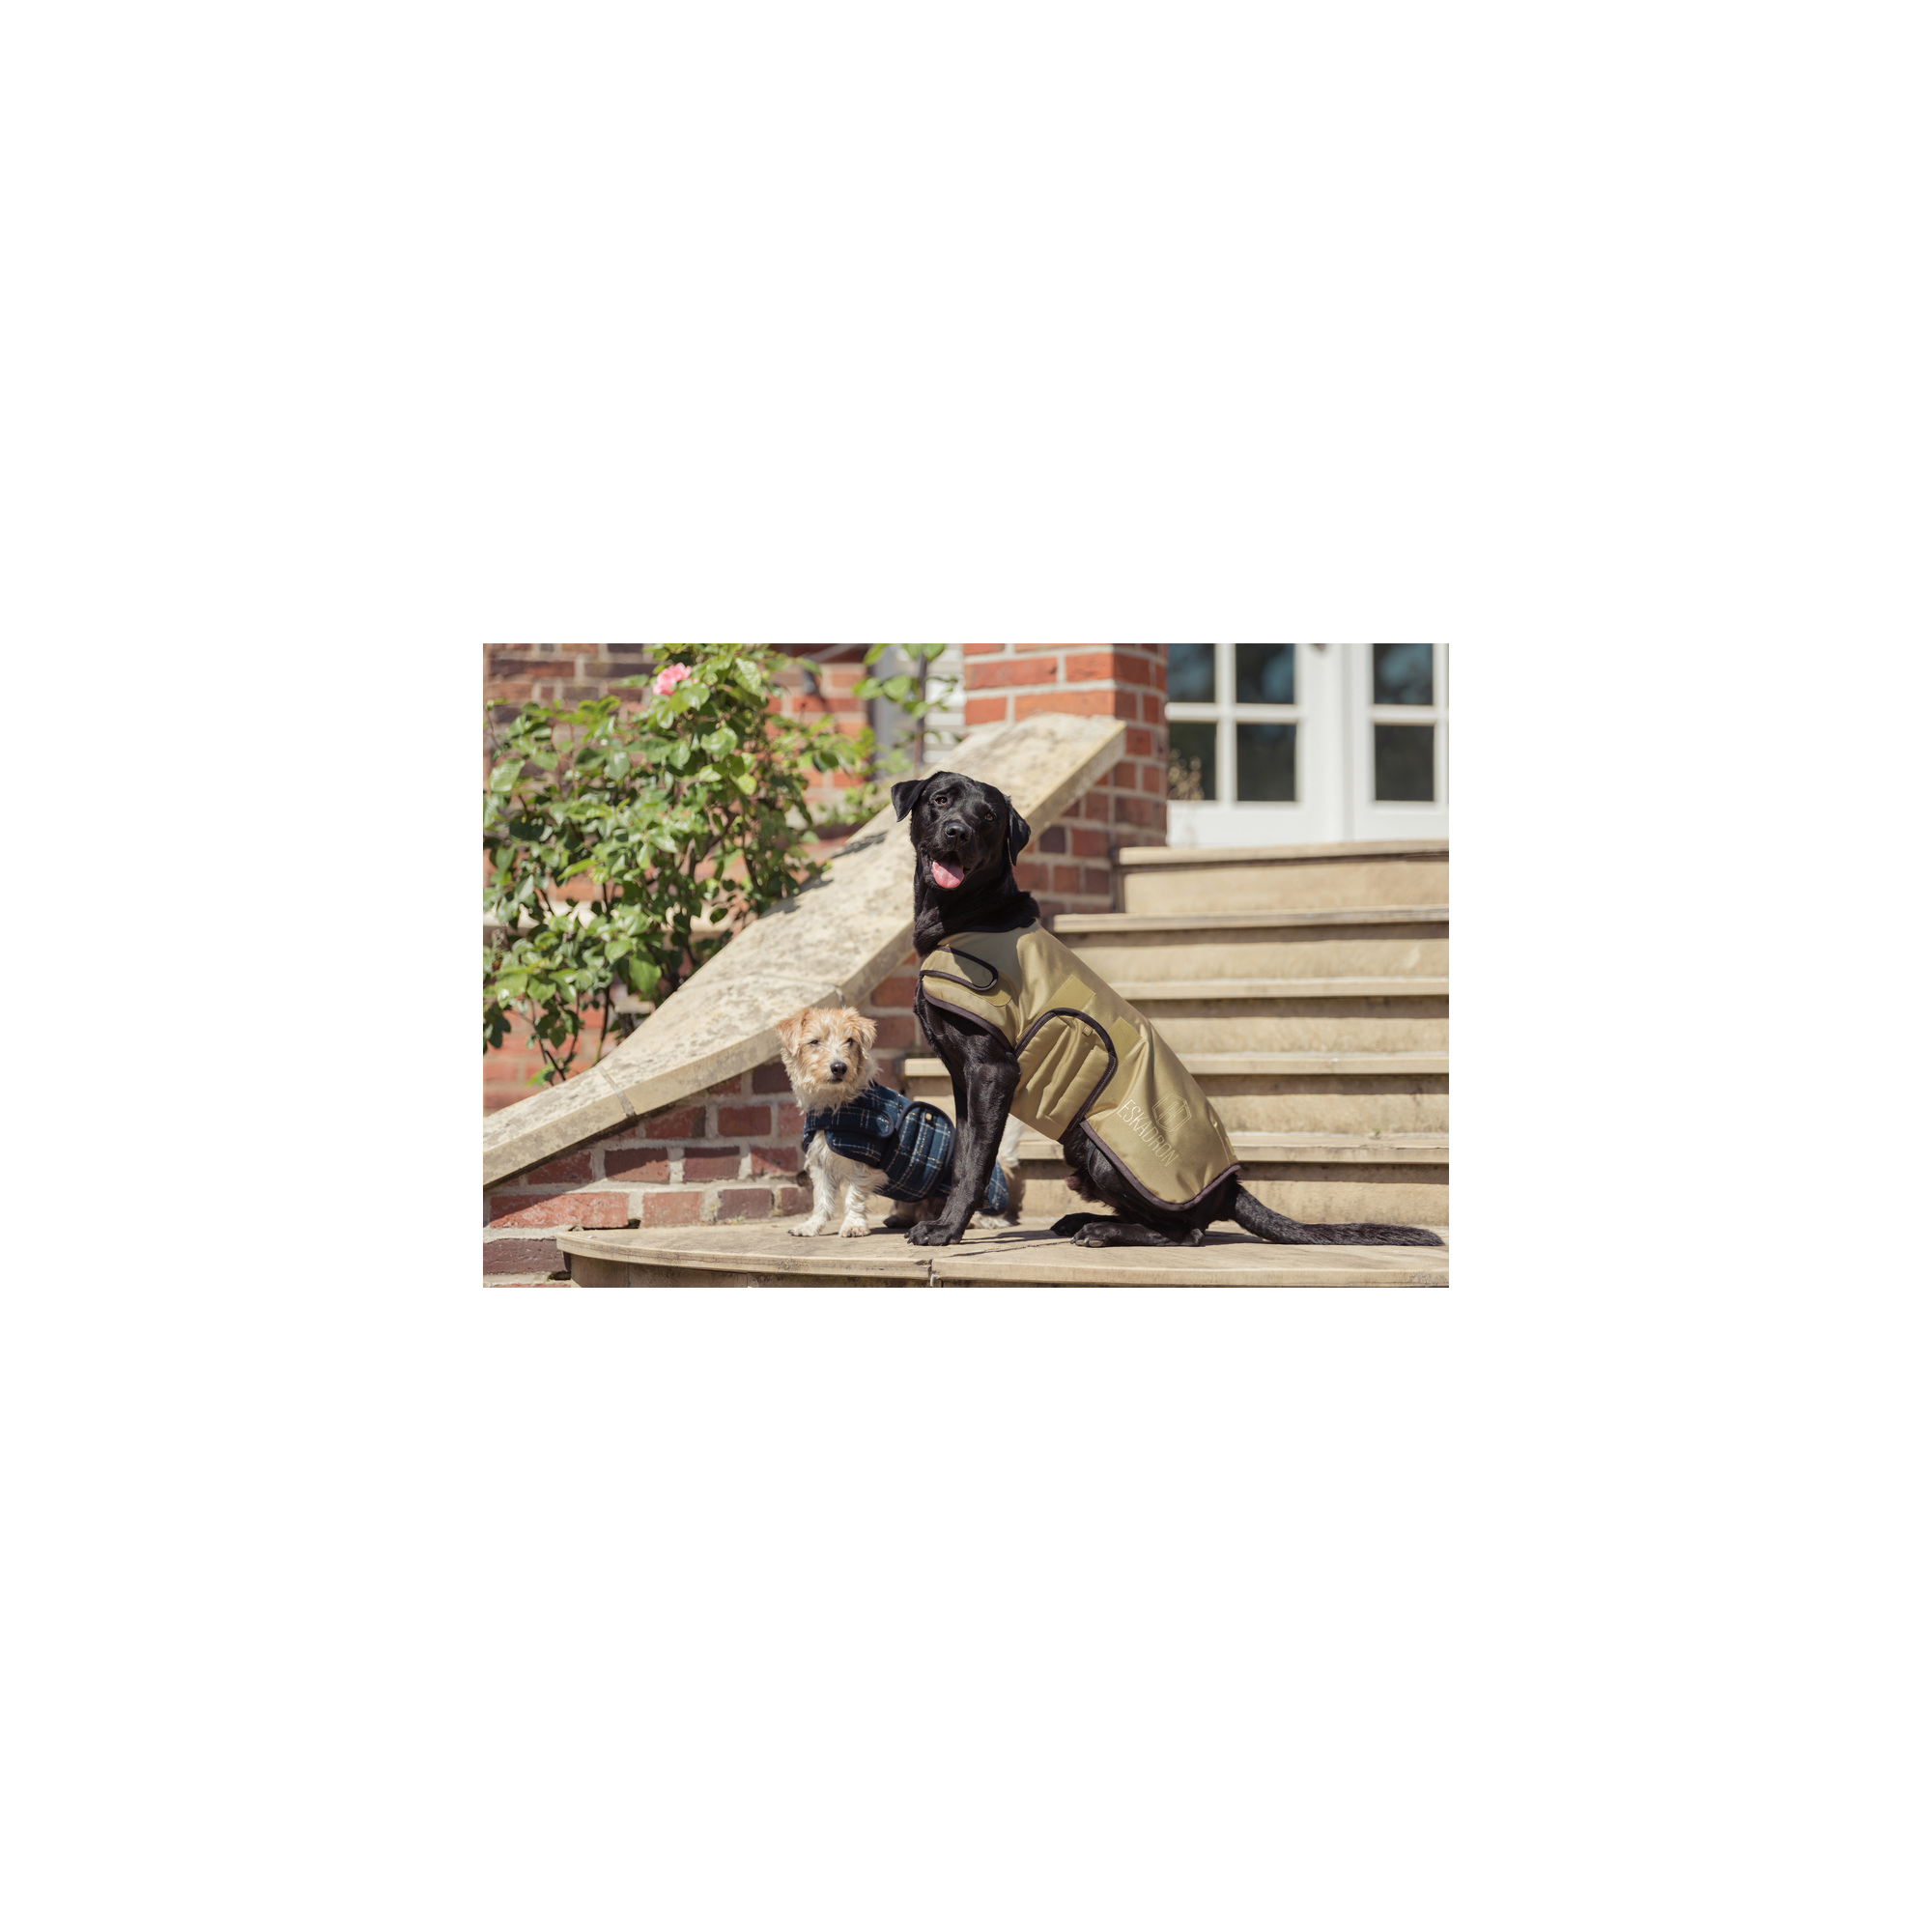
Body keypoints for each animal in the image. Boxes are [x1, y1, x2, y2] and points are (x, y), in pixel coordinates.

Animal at [774, 1004, 1023, 1237]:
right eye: (814, 1042)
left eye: (850, 1041)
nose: (839, 1067)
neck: (835, 1104)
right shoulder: (820, 1162)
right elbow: (822, 1199)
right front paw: (811, 1225)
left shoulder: (864, 1162)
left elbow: (854, 1195)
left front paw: (853, 1225)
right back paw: (901, 1218)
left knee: (986, 1217)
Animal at [894, 770, 1445, 1252]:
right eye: (941, 800)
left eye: (987, 817)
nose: (957, 832)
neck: (969, 917)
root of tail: (1229, 1188)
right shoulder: (964, 1080)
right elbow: (964, 1154)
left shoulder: (992, 1073)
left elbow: (975, 1164)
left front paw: (946, 1231)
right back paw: (1083, 1219)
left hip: (1098, 1147)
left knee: (1187, 1232)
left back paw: (1102, 1230)